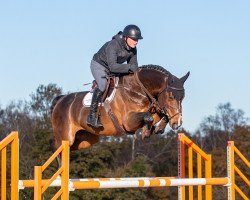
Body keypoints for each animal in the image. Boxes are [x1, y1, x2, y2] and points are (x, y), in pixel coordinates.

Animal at [49, 65, 188, 165]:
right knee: (56, 146)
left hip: (85, 140)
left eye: (183, 97)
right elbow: (147, 117)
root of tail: (60, 100)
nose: (178, 123)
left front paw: (157, 128)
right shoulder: (128, 123)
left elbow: (158, 115)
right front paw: (146, 132)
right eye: (171, 97)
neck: (137, 90)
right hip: (66, 136)